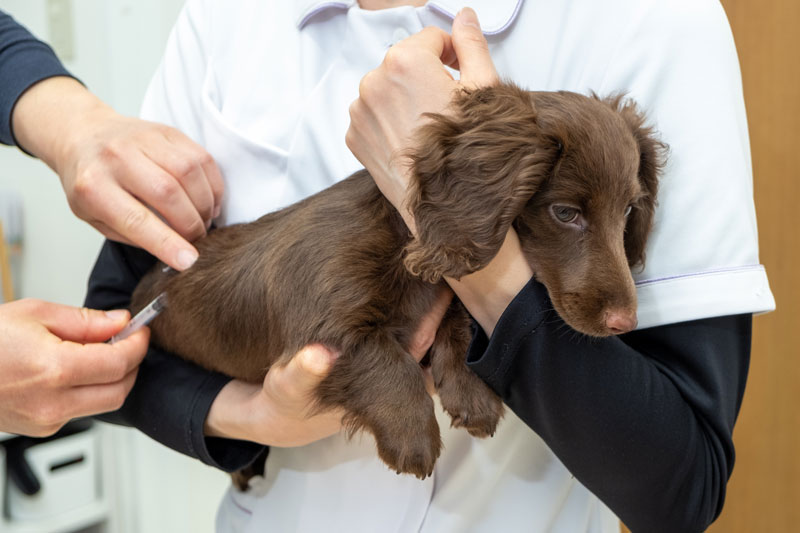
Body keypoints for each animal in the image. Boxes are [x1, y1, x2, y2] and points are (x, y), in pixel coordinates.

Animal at [133, 82, 668, 482]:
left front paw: (471, 395)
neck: (405, 242)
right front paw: (413, 438)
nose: (625, 322)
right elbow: (384, 360)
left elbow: (456, 320)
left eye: (627, 211)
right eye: (565, 213)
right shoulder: (327, 323)